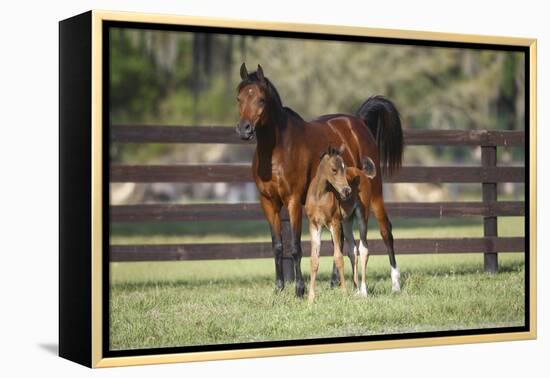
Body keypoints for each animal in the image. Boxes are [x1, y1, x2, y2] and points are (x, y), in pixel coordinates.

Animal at [235, 63, 404, 296]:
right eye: (239, 98)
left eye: (261, 99)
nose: (244, 129)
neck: (278, 150)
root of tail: (358, 122)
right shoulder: (268, 202)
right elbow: (277, 246)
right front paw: (279, 288)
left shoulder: (293, 201)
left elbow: (295, 247)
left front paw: (299, 289)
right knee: (340, 239)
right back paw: (336, 282)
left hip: (375, 194)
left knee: (386, 231)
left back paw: (395, 284)